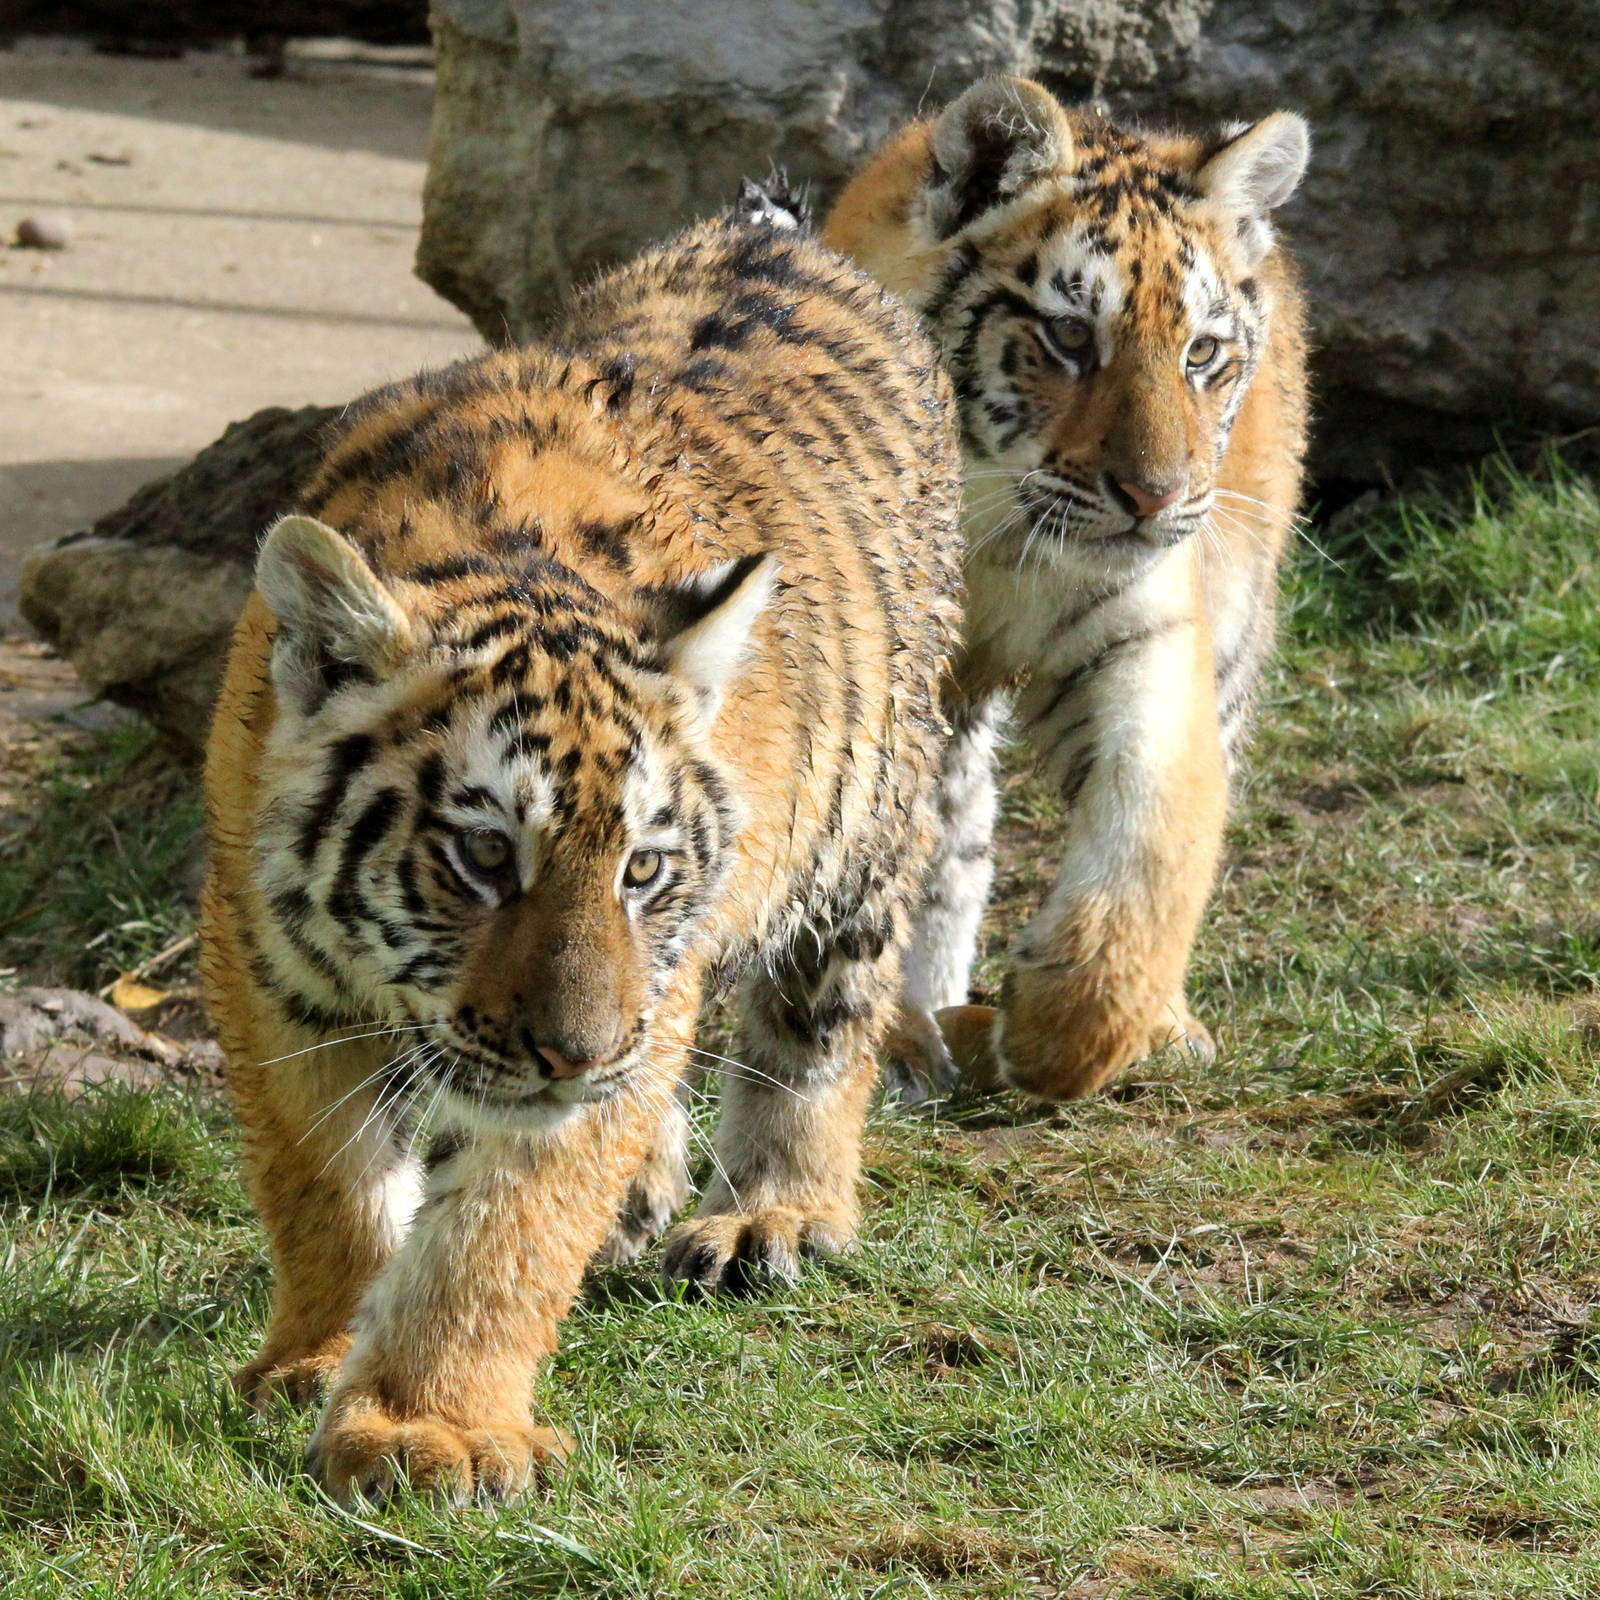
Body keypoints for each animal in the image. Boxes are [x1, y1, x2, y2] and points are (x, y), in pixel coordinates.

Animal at [200, 211, 962, 1504]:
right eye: (481, 854)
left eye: (641, 869)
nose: (580, 1052)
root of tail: (774, 228)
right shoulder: (269, 966)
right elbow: (327, 1185)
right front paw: (316, 1355)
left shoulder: (604, 1032)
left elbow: (498, 1234)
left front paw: (428, 1429)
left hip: (863, 827)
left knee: (816, 1027)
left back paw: (770, 1216)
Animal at [821, 76, 1311, 1102]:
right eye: (1070, 336)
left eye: (1201, 352)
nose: (1155, 496)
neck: (996, 541)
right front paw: (901, 1040)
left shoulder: (1144, 641)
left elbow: (1154, 838)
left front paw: (1059, 1029)